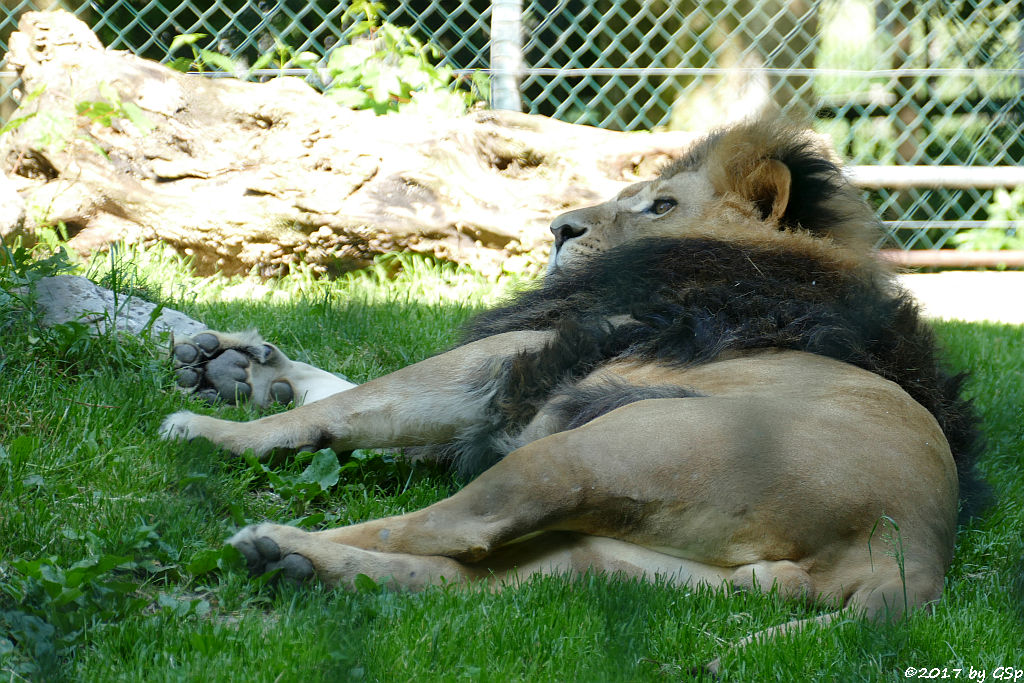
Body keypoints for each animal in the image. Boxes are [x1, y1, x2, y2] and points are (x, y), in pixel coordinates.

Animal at [157, 118, 983, 667]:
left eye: (659, 204)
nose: (558, 228)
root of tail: (915, 554)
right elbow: (353, 394)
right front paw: (244, 367)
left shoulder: (515, 361)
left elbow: (360, 402)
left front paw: (219, 425)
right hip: (620, 558)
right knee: (476, 577)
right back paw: (292, 561)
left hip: (591, 450)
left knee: (452, 529)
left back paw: (273, 541)